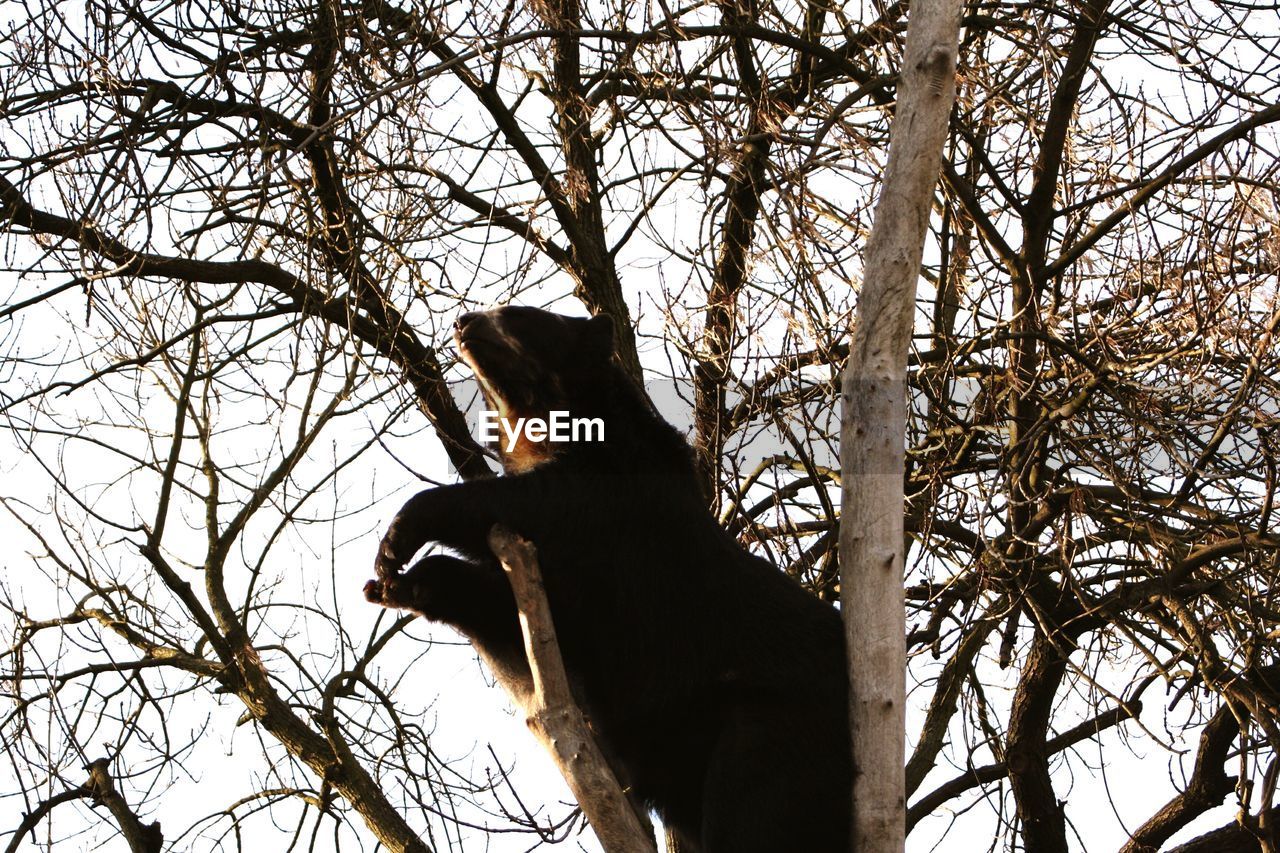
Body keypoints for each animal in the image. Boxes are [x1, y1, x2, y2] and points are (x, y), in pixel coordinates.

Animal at [366, 303, 855, 845]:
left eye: (518, 313)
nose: (464, 321)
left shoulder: (610, 508)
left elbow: (532, 504)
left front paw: (399, 537)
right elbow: (515, 612)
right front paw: (395, 580)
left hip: (770, 724)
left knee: (751, 806)